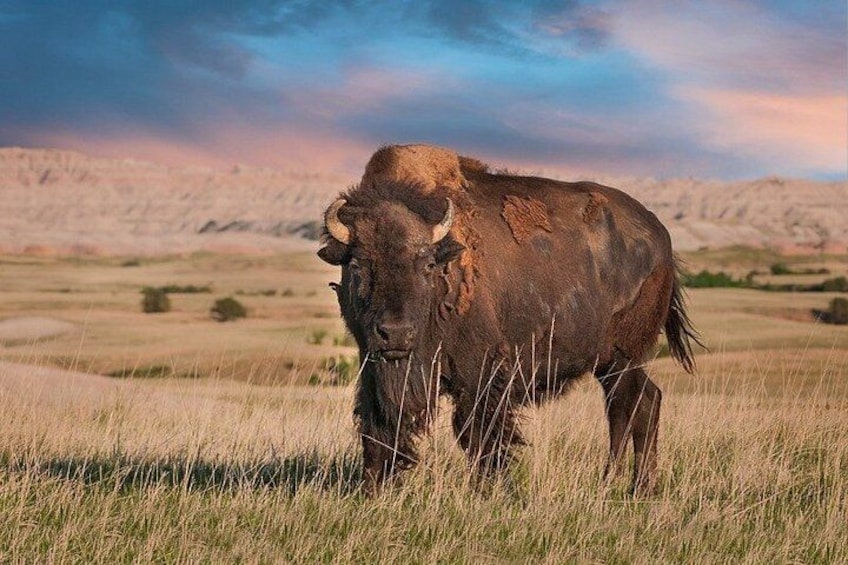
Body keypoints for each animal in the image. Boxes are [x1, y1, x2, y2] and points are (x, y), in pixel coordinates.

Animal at [318, 145, 701, 495]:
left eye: (427, 264)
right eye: (357, 264)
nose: (395, 334)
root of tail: (662, 240)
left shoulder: (481, 373)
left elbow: (479, 432)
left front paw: (488, 489)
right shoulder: (372, 366)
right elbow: (377, 424)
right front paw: (373, 489)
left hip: (625, 358)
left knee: (633, 406)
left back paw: (637, 486)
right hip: (611, 364)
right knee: (635, 405)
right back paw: (618, 483)